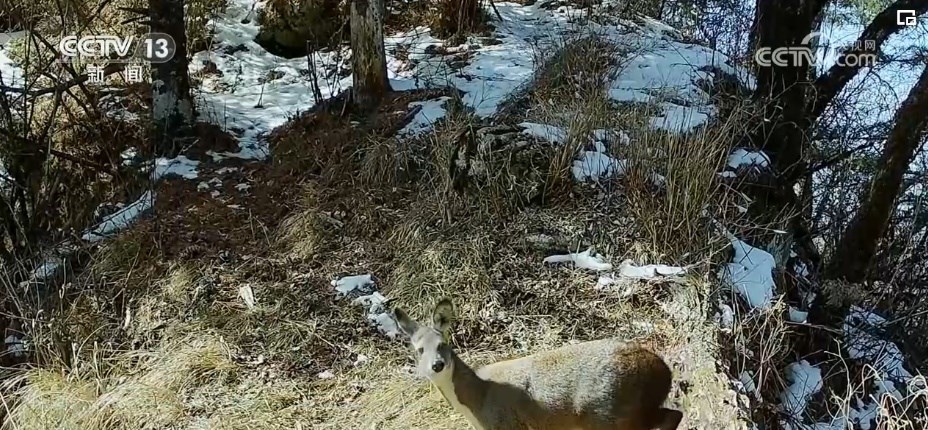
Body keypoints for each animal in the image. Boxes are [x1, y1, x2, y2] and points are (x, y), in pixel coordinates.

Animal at [392, 298, 683, 430]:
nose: (437, 365)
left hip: (611, 414)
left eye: (443, 343)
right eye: (419, 349)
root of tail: (663, 371)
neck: (477, 399)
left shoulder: (507, 425)